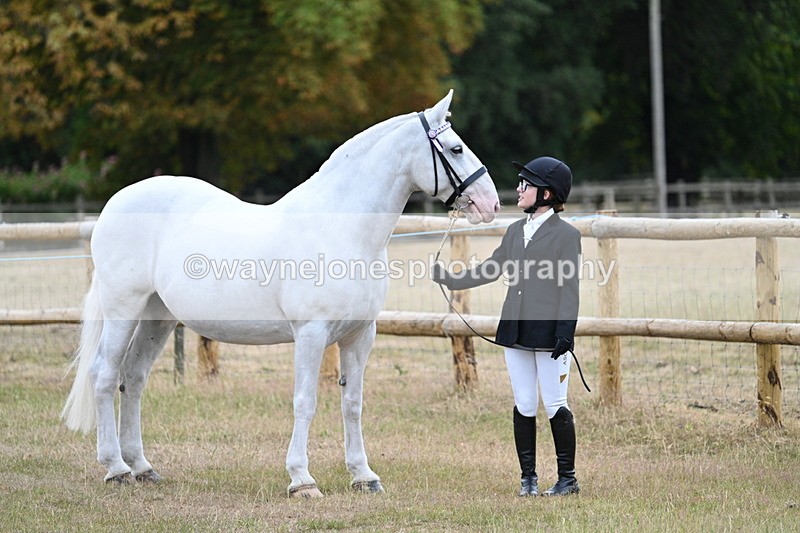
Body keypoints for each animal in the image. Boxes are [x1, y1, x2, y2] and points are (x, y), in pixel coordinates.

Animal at [61, 90, 500, 498]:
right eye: (456, 148)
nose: (491, 203)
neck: (342, 229)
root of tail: (115, 202)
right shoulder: (311, 333)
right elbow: (305, 401)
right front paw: (302, 480)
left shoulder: (360, 335)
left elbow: (353, 404)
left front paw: (363, 476)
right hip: (124, 308)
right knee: (104, 375)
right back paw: (116, 468)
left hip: (158, 317)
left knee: (133, 378)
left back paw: (142, 467)